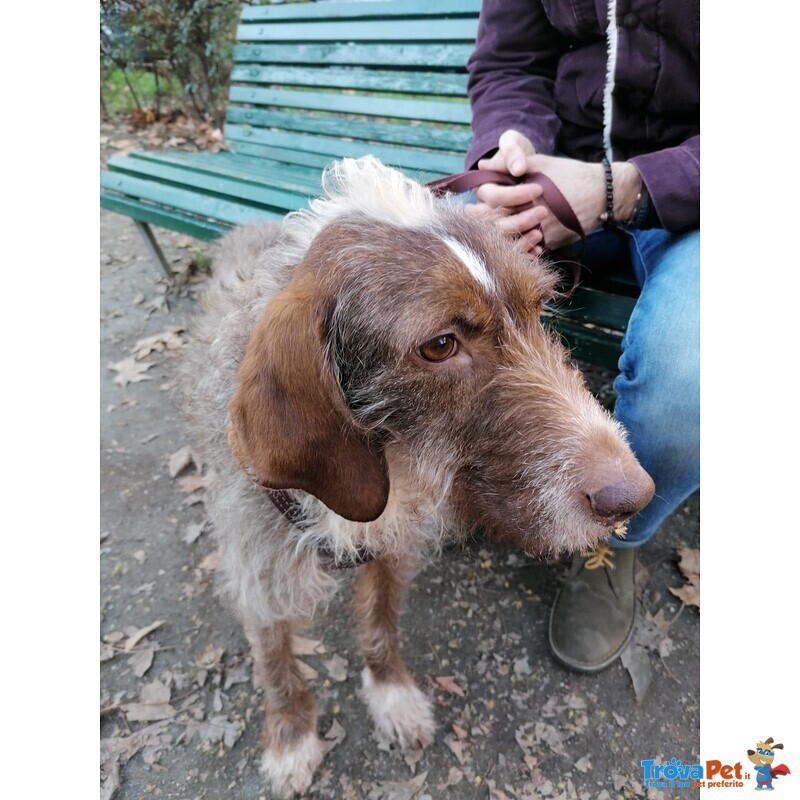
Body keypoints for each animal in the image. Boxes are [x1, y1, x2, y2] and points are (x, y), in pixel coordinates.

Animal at [180, 155, 648, 792]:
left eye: (538, 309)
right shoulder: (260, 572)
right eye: (441, 345)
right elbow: (277, 663)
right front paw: (292, 740)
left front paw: (392, 694)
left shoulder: (391, 551)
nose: (638, 496)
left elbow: (381, 624)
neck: (391, 467)